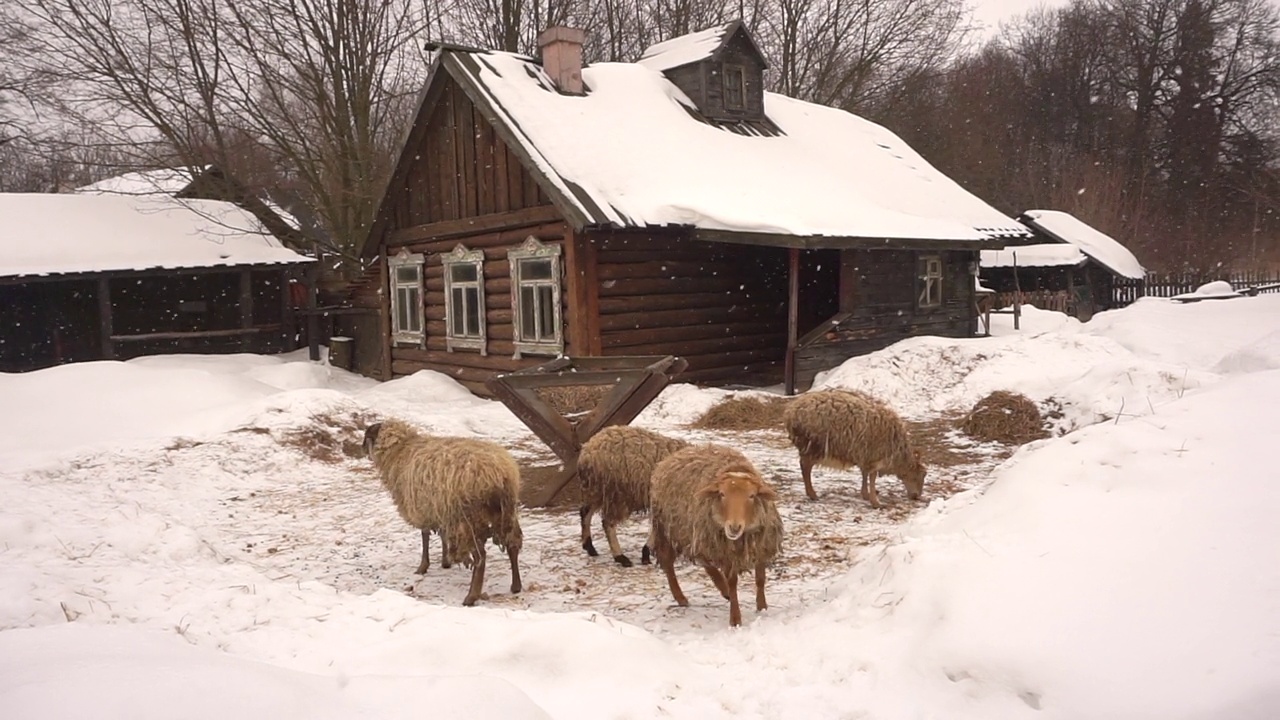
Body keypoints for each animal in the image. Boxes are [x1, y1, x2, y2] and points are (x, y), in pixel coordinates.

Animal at [363, 417, 522, 602]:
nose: (362, 448)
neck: (401, 450)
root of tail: (499, 473)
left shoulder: (422, 509)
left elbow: (425, 535)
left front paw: (423, 567)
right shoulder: (438, 508)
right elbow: (442, 534)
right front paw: (445, 561)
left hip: (467, 520)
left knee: (480, 556)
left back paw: (471, 596)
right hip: (505, 513)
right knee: (512, 545)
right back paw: (516, 586)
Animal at [576, 420, 691, 566]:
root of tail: (587, 453)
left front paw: (646, 552)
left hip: (598, 490)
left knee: (585, 512)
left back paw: (589, 547)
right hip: (618, 493)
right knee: (607, 522)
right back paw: (620, 557)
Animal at [650, 440, 778, 625]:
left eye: (752, 495)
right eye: (722, 494)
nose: (734, 527)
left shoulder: (762, 543)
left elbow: (760, 578)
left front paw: (762, 607)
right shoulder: (726, 551)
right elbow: (733, 583)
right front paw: (735, 619)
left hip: (696, 535)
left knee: (703, 560)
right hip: (669, 528)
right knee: (669, 562)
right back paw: (682, 597)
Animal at [783, 386, 926, 504]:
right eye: (922, 475)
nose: (916, 496)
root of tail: (791, 413)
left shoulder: (865, 457)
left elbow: (864, 474)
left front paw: (866, 494)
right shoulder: (874, 456)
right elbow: (872, 476)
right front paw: (873, 499)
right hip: (813, 445)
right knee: (805, 467)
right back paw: (812, 494)